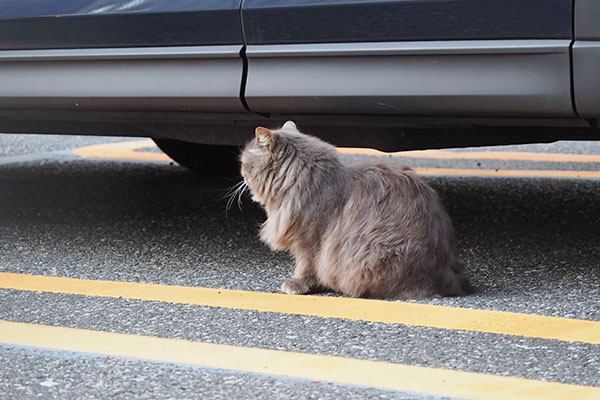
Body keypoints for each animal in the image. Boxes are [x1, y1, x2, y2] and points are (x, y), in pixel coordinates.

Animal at [238, 122, 474, 300]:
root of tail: (451, 277)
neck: (304, 181)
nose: (241, 173)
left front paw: (297, 284)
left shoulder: (310, 240)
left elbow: (306, 266)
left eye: (245, 163)